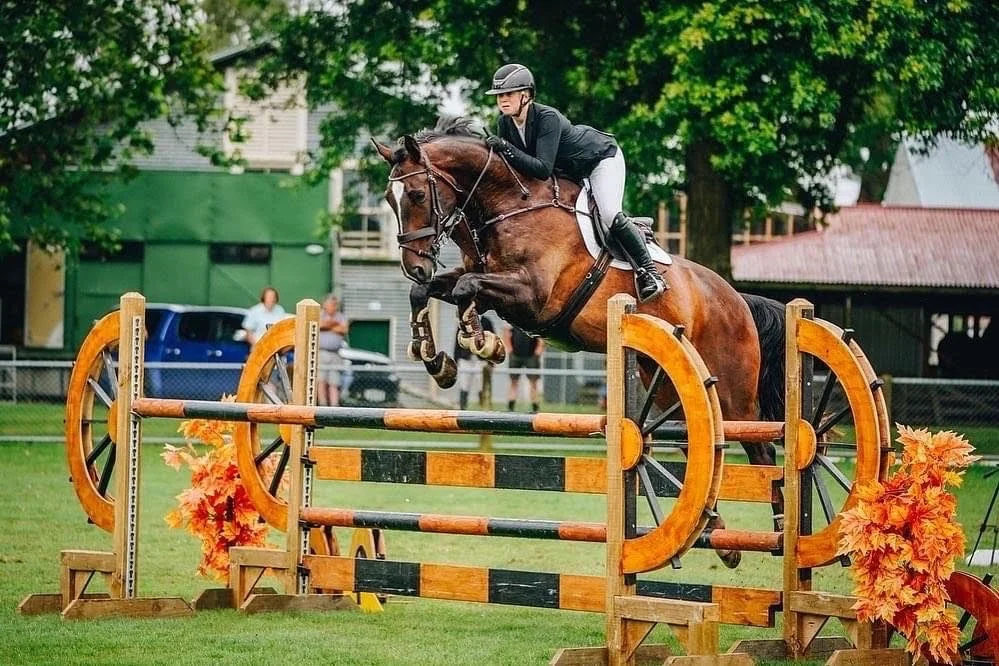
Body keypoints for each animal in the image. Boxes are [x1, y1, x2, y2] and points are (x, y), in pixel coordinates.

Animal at [372, 117, 786, 567]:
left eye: (416, 194)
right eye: (389, 199)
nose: (414, 266)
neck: (508, 205)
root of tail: (737, 298)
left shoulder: (531, 296)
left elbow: (468, 289)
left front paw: (482, 342)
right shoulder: (486, 284)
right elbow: (431, 292)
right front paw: (436, 359)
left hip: (731, 392)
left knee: (761, 450)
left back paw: (780, 531)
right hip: (664, 381)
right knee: (699, 445)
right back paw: (717, 534)